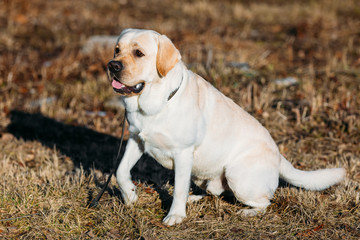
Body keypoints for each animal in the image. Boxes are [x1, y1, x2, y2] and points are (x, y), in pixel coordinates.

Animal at [107, 29, 346, 226]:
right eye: (117, 49)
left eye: (139, 53)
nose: (112, 65)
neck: (154, 104)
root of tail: (278, 156)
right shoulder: (136, 139)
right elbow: (120, 171)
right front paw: (130, 195)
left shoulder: (183, 153)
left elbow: (178, 189)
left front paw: (175, 215)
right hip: (204, 175)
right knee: (215, 192)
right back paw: (194, 198)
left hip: (236, 175)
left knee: (264, 202)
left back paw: (247, 212)